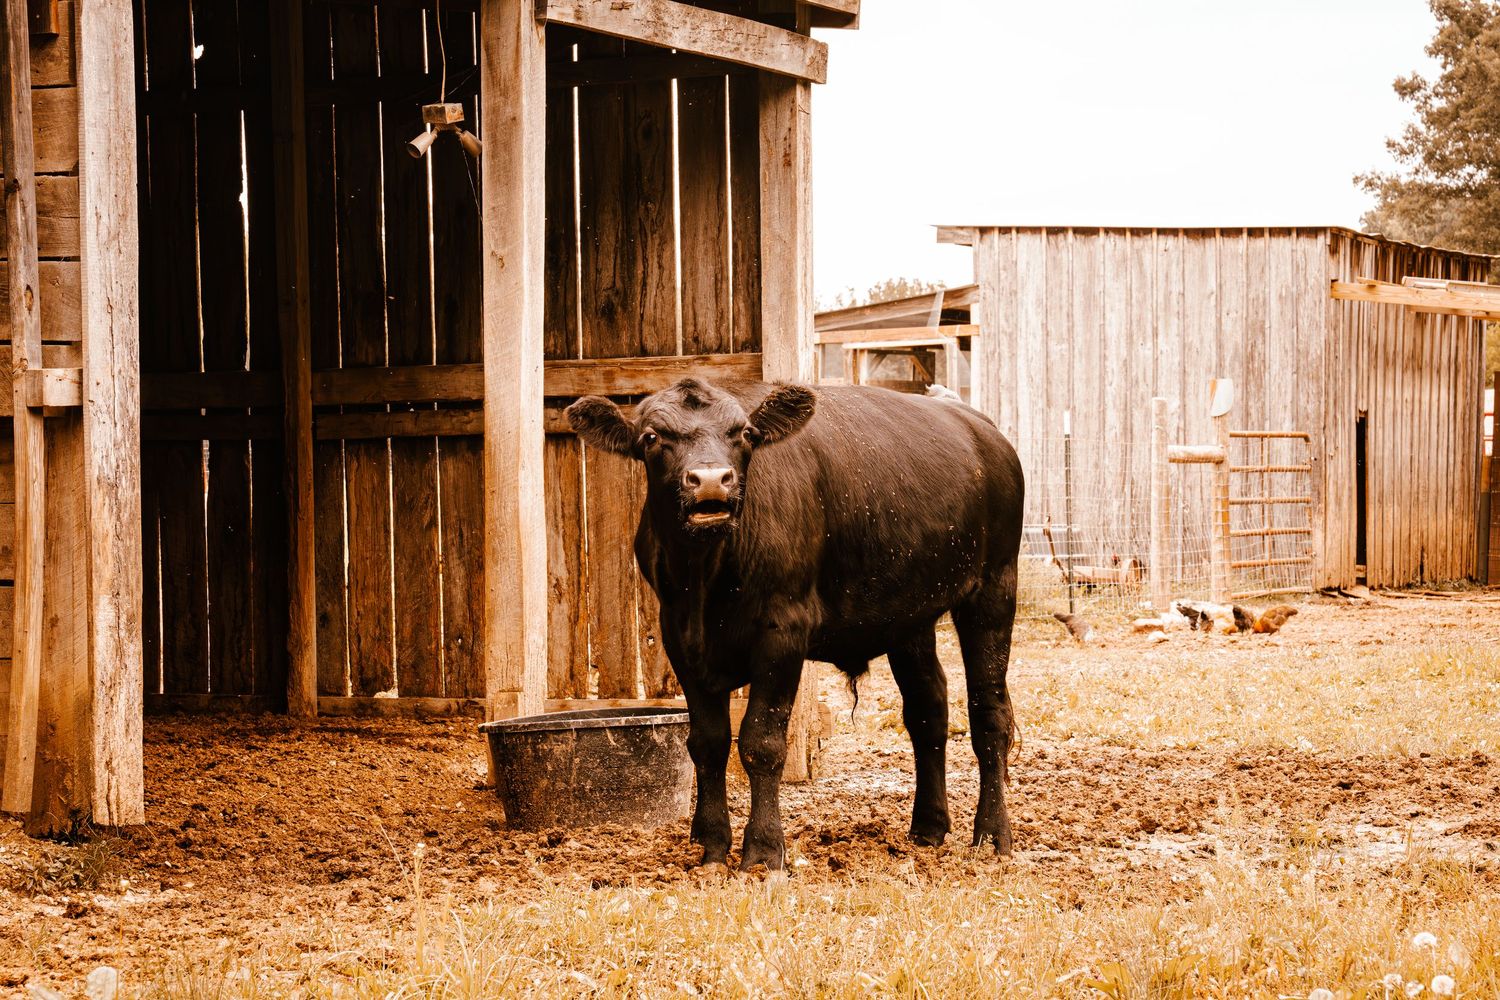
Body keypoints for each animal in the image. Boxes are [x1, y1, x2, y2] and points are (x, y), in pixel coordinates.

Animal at [565, 378, 1024, 871]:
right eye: (652, 437)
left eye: (744, 434)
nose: (711, 480)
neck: (707, 579)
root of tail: (978, 426)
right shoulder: (680, 638)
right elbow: (706, 744)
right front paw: (712, 845)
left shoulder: (782, 634)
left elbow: (761, 742)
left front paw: (764, 850)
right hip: (909, 616)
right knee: (927, 710)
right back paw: (928, 826)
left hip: (994, 589)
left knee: (990, 713)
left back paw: (992, 835)